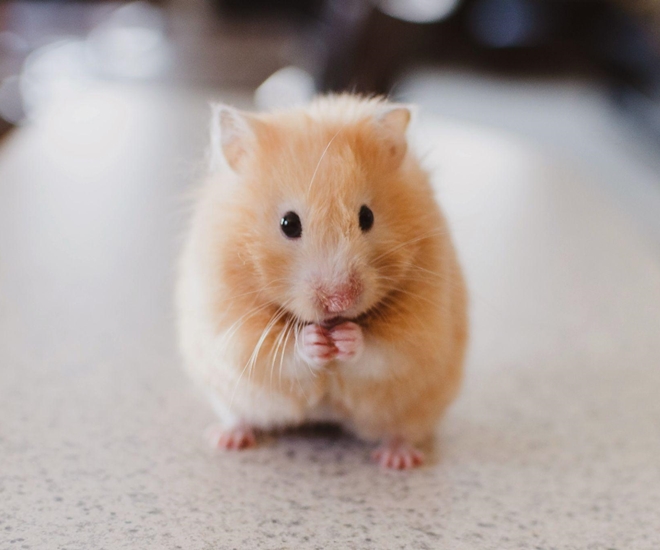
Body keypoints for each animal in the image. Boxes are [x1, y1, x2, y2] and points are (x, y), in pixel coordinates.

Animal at [176, 94, 468, 469]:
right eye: (288, 223)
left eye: (367, 217)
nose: (340, 301)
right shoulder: (231, 327)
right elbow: (279, 352)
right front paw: (315, 341)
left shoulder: (421, 331)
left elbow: (383, 351)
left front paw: (346, 338)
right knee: (240, 416)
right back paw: (226, 439)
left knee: (401, 431)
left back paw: (397, 460)